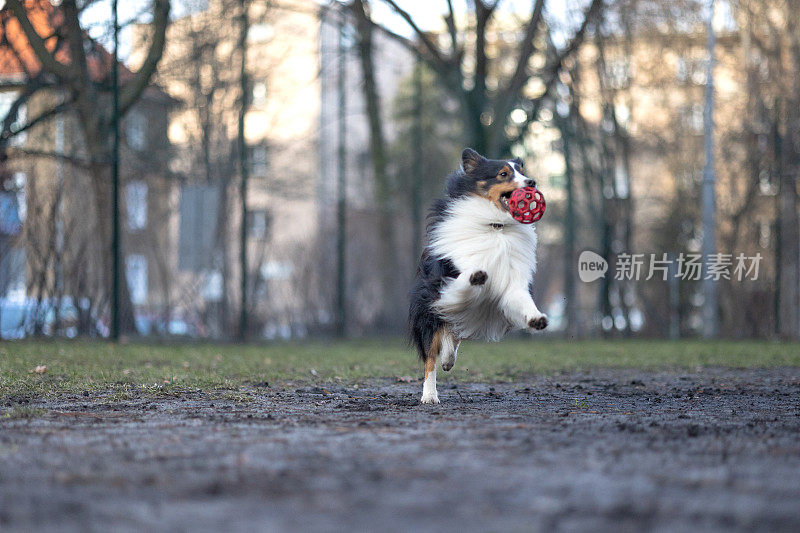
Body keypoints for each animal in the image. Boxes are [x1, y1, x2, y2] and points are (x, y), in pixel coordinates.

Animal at [410, 148, 548, 402]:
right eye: (503, 173)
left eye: (521, 171)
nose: (531, 182)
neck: (495, 226)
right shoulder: (444, 282)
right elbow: (461, 284)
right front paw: (475, 277)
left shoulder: (513, 279)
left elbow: (523, 299)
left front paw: (536, 318)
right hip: (428, 312)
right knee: (431, 357)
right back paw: (430, 395)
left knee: (451, 335)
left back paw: (448, 359)